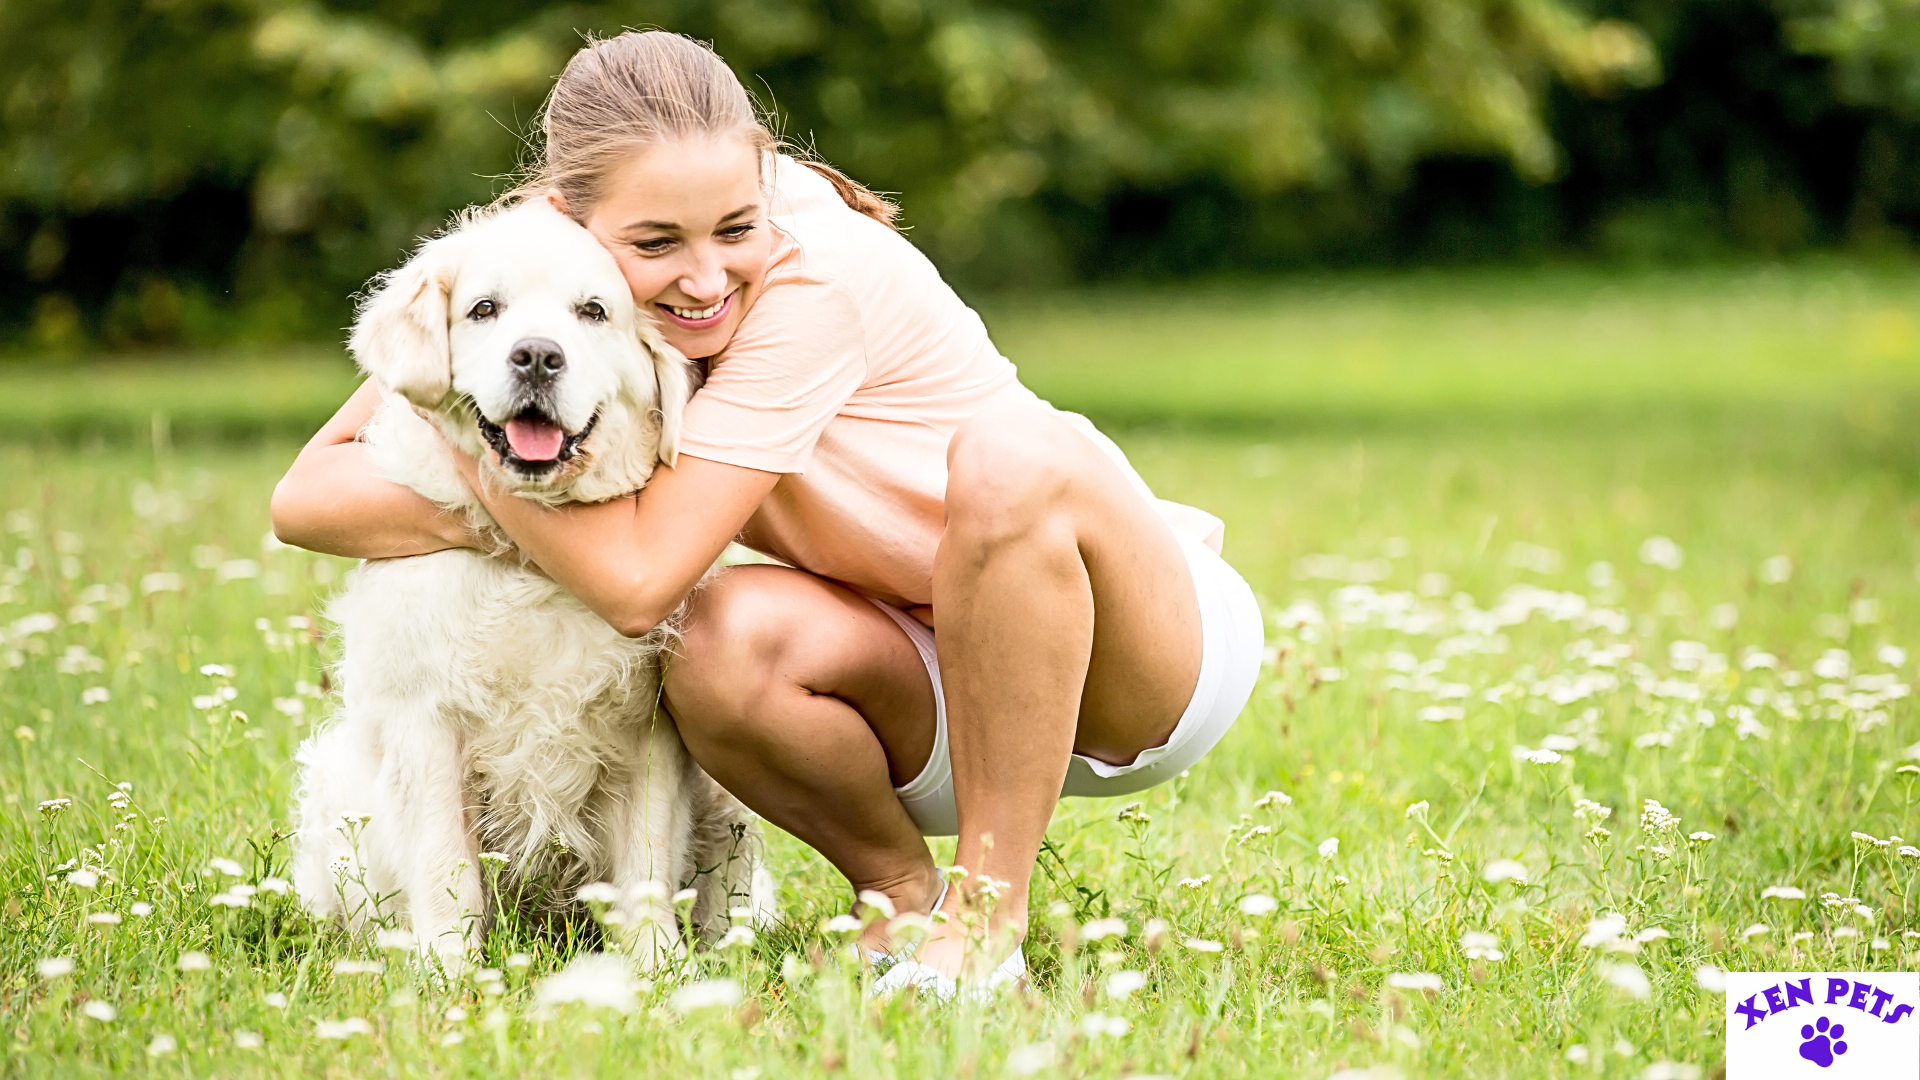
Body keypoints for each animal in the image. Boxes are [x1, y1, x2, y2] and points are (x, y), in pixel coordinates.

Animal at [288, 199, 768, 968]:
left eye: (593, 311)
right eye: (484, 309)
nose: (538, 356)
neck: (541, 552)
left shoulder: (649, 731)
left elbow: (647, 863)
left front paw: (656, 968)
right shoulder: (428, 723)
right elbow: (444, 865)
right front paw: (448, 970)